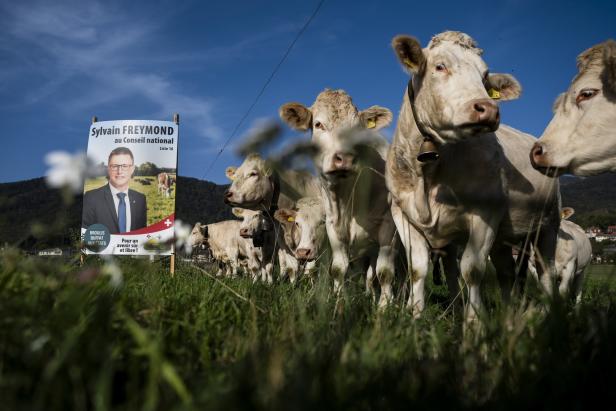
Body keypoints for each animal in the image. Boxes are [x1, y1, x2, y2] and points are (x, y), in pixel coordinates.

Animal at [280, 90, 400, 308]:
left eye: (357, 129)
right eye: (318, 124)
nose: (345, 158)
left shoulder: (389, 225)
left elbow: (385, 272)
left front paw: (385, 307)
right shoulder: (333, 225)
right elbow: (338, 269)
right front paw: (338, 300)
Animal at [384, 32, 564, 322]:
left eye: (484, 77)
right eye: (440, 66)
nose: (489, 109)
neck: (429, 173)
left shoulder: (485, 214)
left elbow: (473, 270)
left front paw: (474, 323)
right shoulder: (402, 214)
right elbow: (418, 269)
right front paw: (415, 317)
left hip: (547, 226)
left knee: (547, 272)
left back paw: (550, 315)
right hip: (505, 237)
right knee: (506, 273)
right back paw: (509, 315)